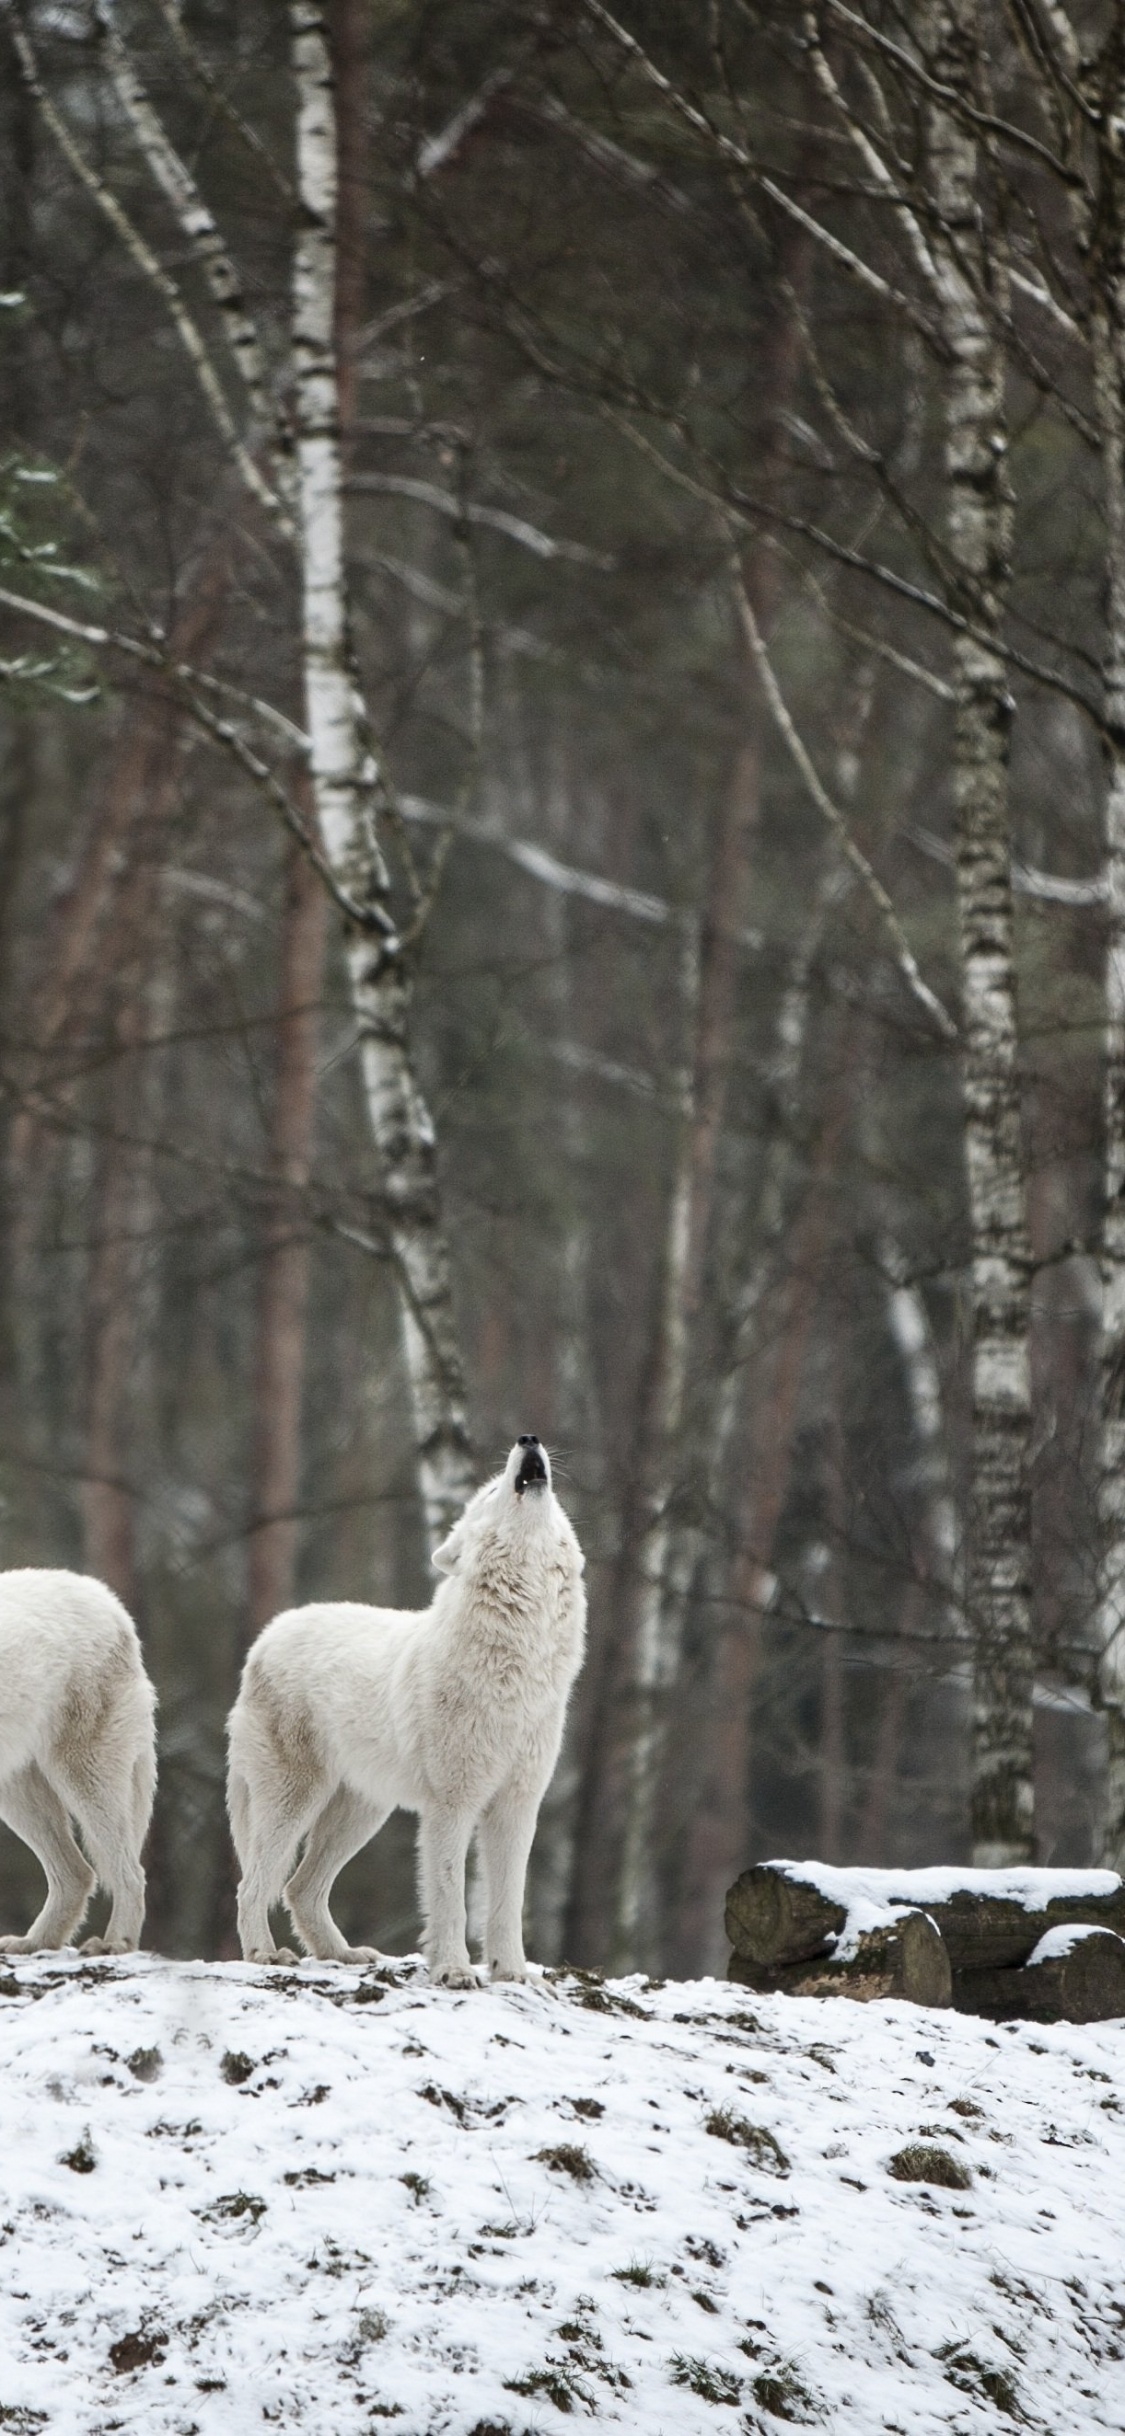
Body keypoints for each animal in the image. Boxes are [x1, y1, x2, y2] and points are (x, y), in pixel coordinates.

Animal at [0, 1570, 157, 1953]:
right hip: (20, 1796)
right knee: (78, 1874)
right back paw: (34, 1942)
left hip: (85, 1777)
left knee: (130, 1874)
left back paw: (114, 1944)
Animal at [227, 1437, 586, 1982]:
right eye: (491, 1492)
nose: (528, 1439)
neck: (518, 1667)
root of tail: (267, 1638)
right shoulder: (451, 1805)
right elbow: (450, 1897)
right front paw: (454, 1971)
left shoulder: (518, 1806)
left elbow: (508, 1902)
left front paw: (511, 1973)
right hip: (294, 1801)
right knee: (254, 1885)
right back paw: (265, 1955)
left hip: (362, 1813)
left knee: (299, 1888)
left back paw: (343, 1955)